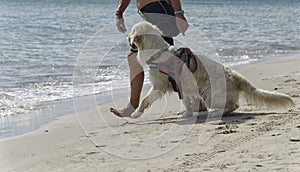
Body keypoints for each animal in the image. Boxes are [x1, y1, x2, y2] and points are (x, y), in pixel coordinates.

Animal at [127, 21, 294, 118]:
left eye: (131, 33)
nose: (127, 39)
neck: (158, 52)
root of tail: (236, 75)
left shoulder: (159, 87)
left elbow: (144, 99)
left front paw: (136, 113)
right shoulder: (181, 87)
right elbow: (186, 102)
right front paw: (187, 113)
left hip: (208, 93)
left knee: (233, 106)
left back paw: (215, 113)